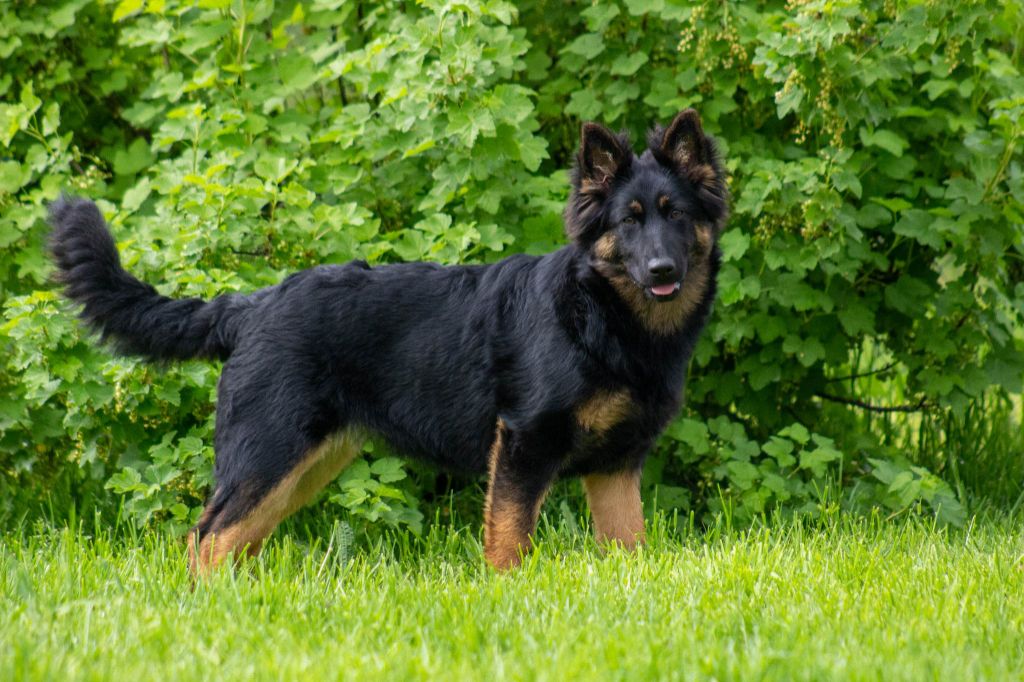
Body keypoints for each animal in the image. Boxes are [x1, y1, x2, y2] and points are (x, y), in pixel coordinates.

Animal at [49, 109, 729, 569]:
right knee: (206, 539)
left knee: (227, 542)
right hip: (268, 456)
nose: (661, 271)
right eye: (628, 222)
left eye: (675, 214)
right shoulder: (522, 445)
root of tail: (252, 305)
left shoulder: (616, 468)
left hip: (300, 470)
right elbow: (508, 542)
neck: (601, 316)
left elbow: (629, 546)